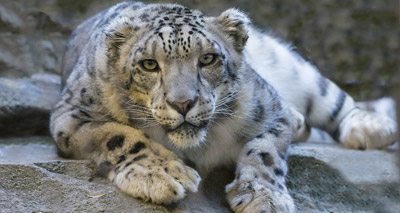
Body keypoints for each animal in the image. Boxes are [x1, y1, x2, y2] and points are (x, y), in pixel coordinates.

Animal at [50, 1, 396, 211]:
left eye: (208, 59)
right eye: (149, 64)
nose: (183, 102)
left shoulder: (272, 109)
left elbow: (265, 150)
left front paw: (263, 196)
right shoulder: (70, 116)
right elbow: (117, 134)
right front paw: (162, 174)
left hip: (293, 67)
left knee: (333, 98)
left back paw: (372, 127)